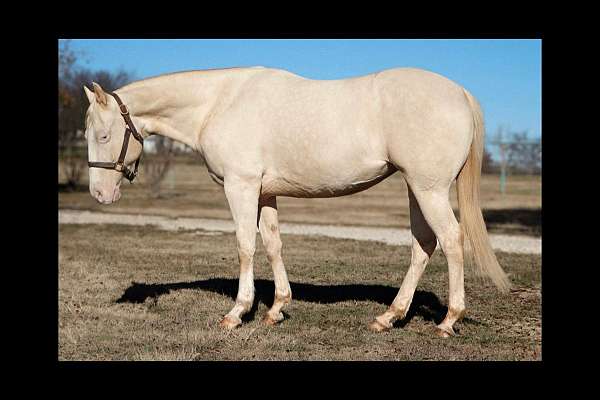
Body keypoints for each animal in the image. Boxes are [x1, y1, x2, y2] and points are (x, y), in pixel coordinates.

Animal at [82, 66, 508, 338]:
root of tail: (459, 93)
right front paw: (276, 309)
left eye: (103, 135)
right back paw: (389, 317)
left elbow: (245, 245)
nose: (100, 195)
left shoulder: (240, 186)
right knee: (424, 244)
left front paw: (237, 313)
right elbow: (272, 245)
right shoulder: (265, 192)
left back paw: (448, 321)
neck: (218, 102)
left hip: (428, 188)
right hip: (417, 189)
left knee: (450, 240)